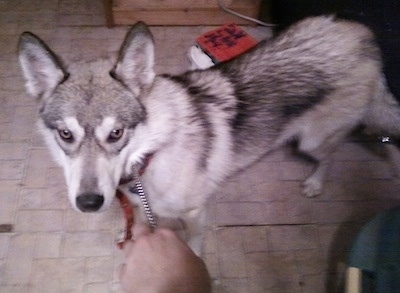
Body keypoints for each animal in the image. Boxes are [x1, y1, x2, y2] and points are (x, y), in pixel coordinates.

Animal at [19, 16, 400, 253]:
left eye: (116, 133)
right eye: (65, 134)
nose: (89, 203)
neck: (151, 154)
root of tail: (363, 33)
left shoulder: (194, 215)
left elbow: (194, 249)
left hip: (314, 140)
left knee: (333, 154)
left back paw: (317, 182)